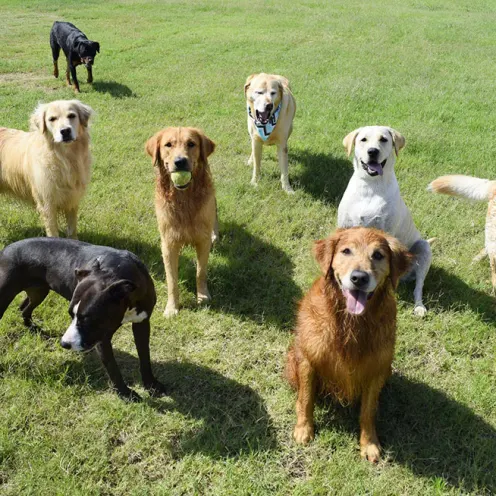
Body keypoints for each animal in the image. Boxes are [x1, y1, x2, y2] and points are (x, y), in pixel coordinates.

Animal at [0, 237, 167, 404]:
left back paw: (32, 328)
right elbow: (112, 367)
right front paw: (125, 394)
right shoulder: (102, 337)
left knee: (24, 308)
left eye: (87, 318)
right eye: (70, 314)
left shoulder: (142, 323)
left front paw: (151, 385)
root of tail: (6, 249)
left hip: (39, 291)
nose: (64, 344)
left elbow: (144, 356)